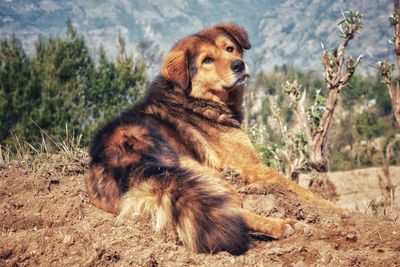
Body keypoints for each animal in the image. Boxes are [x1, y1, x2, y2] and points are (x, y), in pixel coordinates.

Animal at [84, 24, 328, 256]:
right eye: (207, 60)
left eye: (230, 49)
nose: (239, 65)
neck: (194, 98)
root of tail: (124, 161)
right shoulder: (254, 168)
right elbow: (305, 192)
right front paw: (335, 209)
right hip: (209, 178)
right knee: (232, 213)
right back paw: (283, 225)